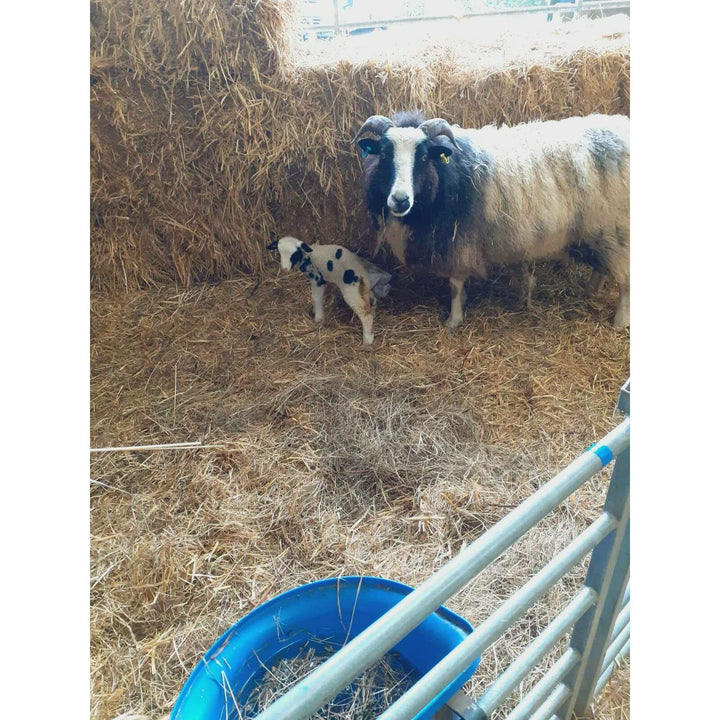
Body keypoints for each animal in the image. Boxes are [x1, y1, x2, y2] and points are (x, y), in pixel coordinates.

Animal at [353, 111, 629, 328]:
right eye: (385, 155)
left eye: (422, 157)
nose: (400, 200)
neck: (449, 172)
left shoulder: (458, 240)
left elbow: (455, 283)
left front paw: (453, 320)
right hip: (600, 230)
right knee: (603, 265)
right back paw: (590, 291)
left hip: (616, 229)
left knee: (624, 279)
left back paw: (619, 321)